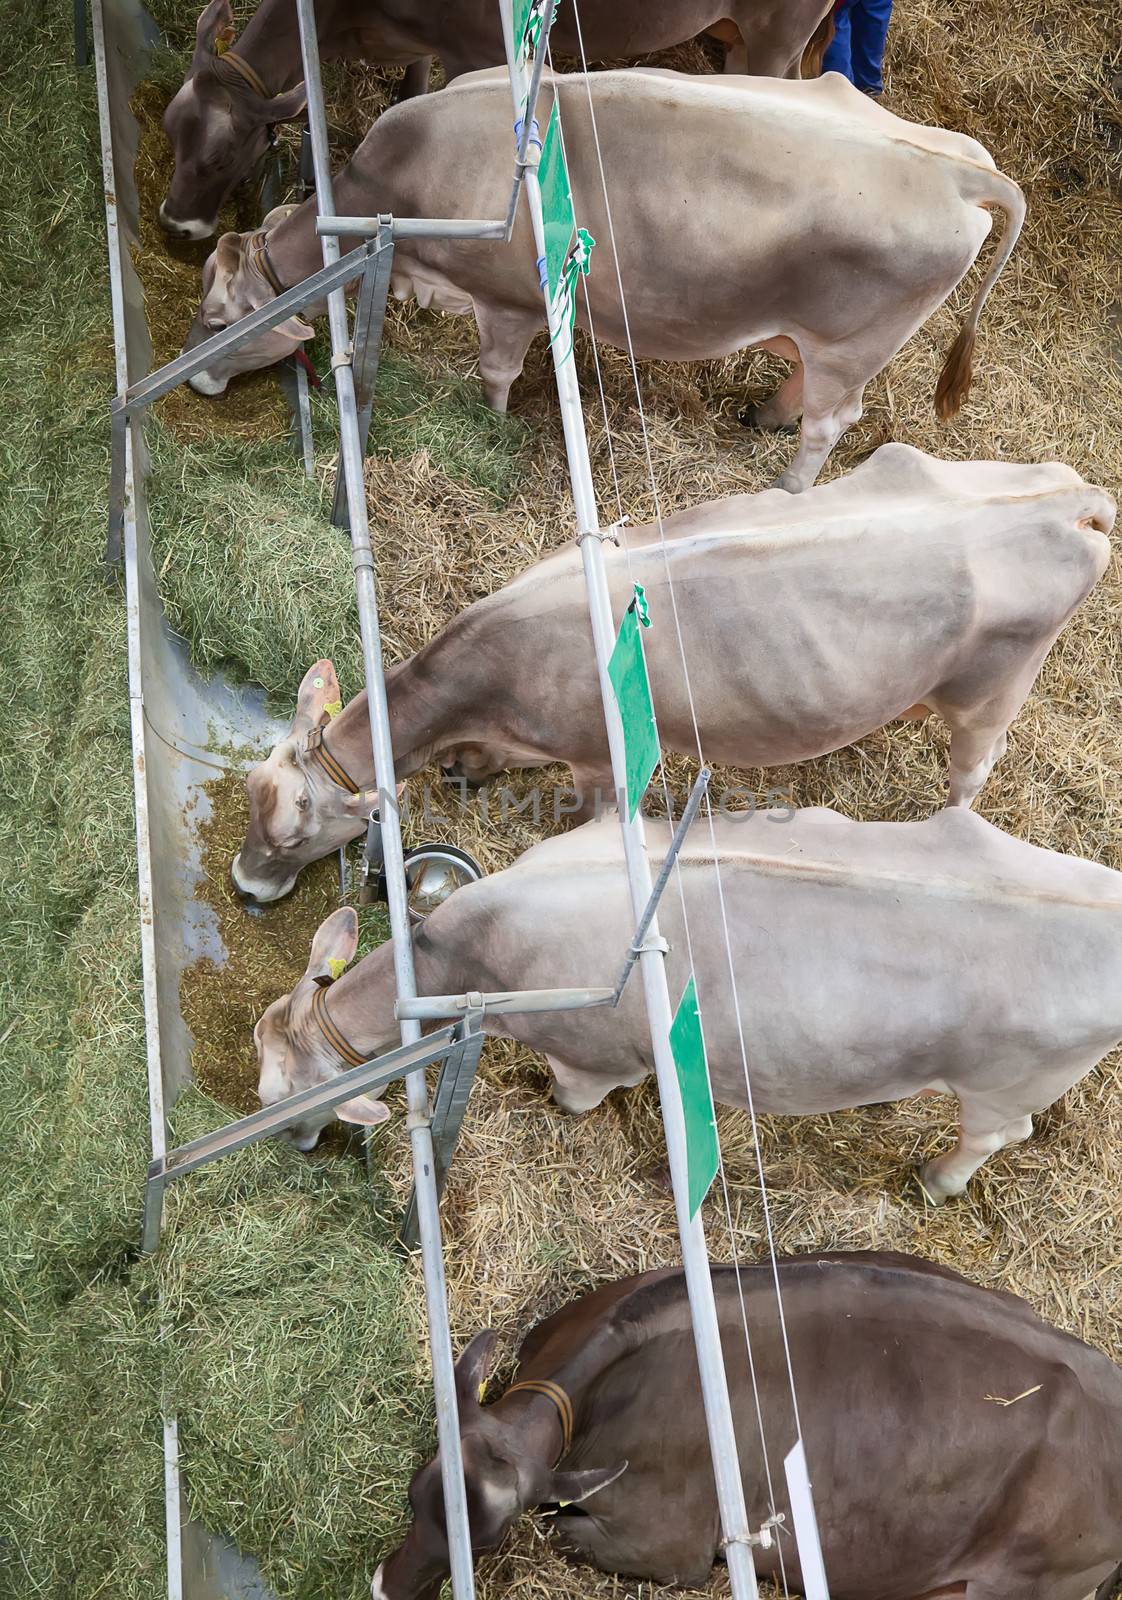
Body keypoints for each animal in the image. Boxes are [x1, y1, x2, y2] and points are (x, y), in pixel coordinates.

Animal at [161, 0, 838, 240]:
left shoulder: (477, 44)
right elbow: (411, 85)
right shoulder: (415, 38)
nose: (175, 224)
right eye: (169, 130)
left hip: (778, 31)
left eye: (221, 158)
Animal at [181, 65, 1024, 486]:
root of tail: (961, 170)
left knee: (830, 424)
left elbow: (495, 372)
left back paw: (785, 490)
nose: (193, 380)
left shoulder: (508, 301)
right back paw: (762, 418)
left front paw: (490, 425)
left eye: (220, 323)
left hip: (849, 349)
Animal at [230, 444, 1113, 908]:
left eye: (294, 836)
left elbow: (589, 813)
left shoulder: (597, 755)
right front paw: (467, 770)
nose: (243, 883)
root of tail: (1071, 499)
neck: (494, 678)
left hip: (992, 696)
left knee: (974, 774)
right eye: (250, 796)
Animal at [251, 812, 1120, 1203]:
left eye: (276, 1096)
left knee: (999, 1134)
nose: (292, 1145)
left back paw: (939, 1179)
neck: (474, 957)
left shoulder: (593, 1058)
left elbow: (573, 1097)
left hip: (1002, 1085)